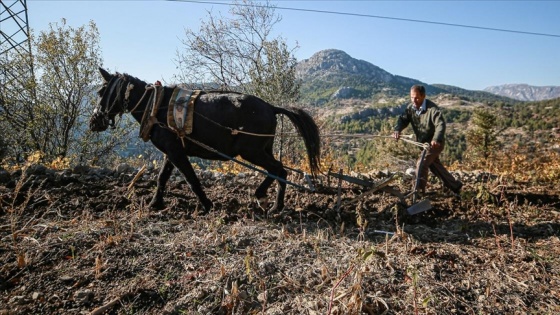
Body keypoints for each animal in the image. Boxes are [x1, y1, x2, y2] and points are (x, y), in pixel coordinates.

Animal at [89, 68, 322, 214]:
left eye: (101, 91)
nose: (93, 122)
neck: (156, 106)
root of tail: (271, 107)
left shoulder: (176, 152)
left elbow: (191, 178)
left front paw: (206, 204)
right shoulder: (171, 151)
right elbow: (162, 177)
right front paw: (155, 203)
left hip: (250, 151)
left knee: (279, 169)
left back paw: (272, 204)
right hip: (263, 149)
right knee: (277, 170)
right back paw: (268, 200)